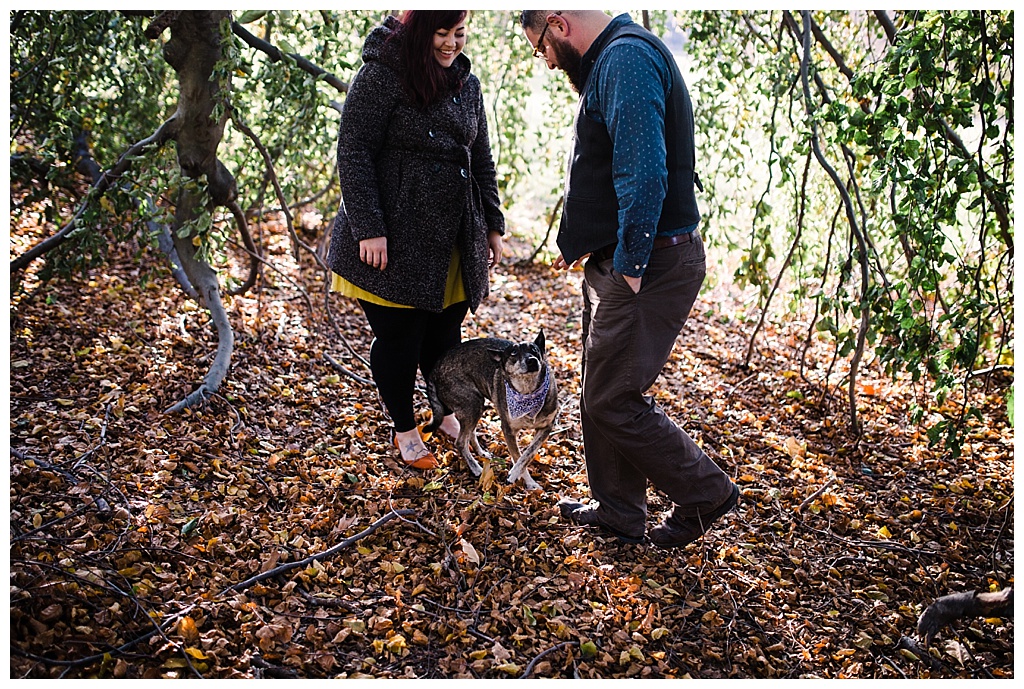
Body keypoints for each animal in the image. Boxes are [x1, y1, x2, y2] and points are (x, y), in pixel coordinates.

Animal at [423, 331, 561, 489]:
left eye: (534, 350)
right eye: (513, 353)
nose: (532, 360)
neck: (527, 393)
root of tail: (434, 370)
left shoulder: (546, 428)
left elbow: (528, 454)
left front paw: (520, 475)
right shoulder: (508, 430)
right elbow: (518, 456)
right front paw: (524, 479)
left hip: (474, 407)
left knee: (470, 433)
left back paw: (481, 453)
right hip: (472, 404)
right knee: (460, 442)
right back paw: (476, 468)